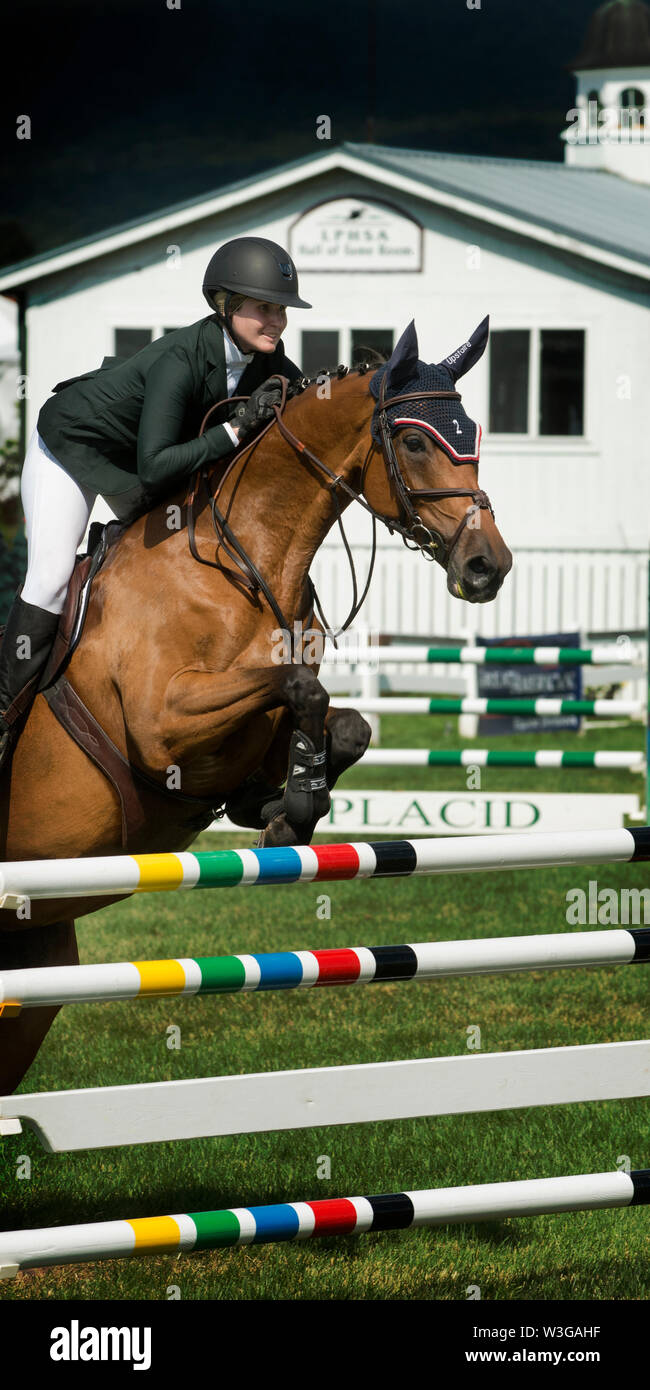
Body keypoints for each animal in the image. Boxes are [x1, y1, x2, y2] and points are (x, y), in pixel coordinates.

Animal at [0, 318, 511, 1091]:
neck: (244, 562)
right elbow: (300, 687)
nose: (489, 566)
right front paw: (292, 808)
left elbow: (345, 722)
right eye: (416, 441)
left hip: (36, 965)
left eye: (473, 433)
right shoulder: (161, 725)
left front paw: (283, 805)